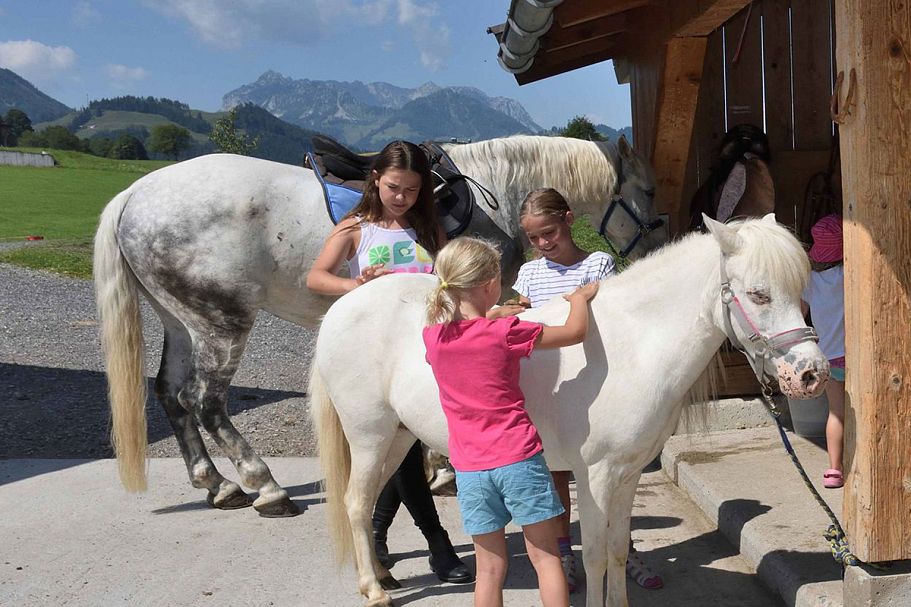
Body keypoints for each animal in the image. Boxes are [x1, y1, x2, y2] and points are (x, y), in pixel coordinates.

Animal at [94, 134, 664, 516]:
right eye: (651, 195)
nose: (659, 242)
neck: (493, 192)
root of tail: (134, 197)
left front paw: (436, 466)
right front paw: (444, 466)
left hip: (181, 320)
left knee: (170, 393)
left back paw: (216, 483)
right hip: (222, 322)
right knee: (205, 401)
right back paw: (264, 485)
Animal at [310, 216, 832, 607]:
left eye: (799, 288)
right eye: (760, 294)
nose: (812, 374)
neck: (635, 344)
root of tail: (342, 308)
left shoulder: (627, 474)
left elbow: (619, 551)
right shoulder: (595, 475)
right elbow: (596, 555)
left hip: (398, 437)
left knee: (364, 503)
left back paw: (383, 576)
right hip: (370, 435)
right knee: (355, 502)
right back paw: (375, 591)